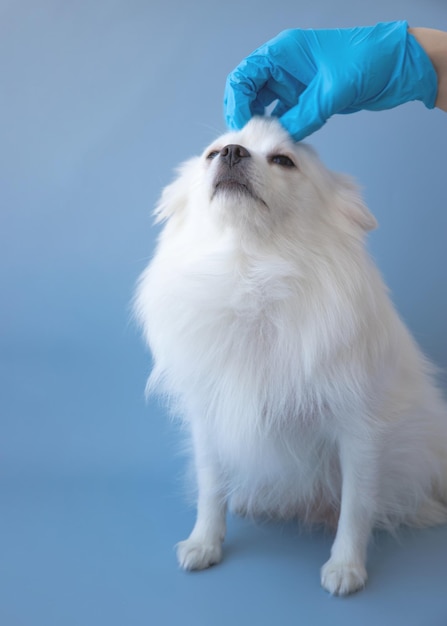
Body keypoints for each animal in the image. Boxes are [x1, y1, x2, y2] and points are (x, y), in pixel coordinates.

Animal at [135, 118, 447, 596]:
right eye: (212, 154)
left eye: (283, 160)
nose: (232, 152)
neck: (249, 269)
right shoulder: (210, 419)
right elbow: (210, 487)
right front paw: (205, 542)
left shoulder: (360, 430)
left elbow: (356, 506)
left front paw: (346, 568)